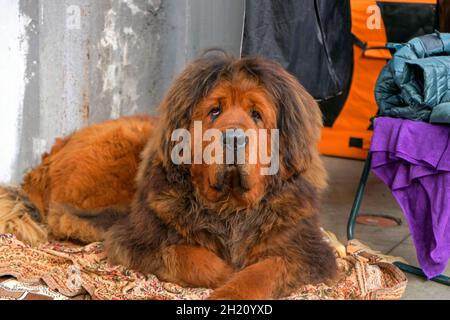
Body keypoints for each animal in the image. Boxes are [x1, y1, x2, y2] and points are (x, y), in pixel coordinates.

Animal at [0, 52, 338, 300]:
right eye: (214, 111)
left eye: (256, 115)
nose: (233, 138)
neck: (229, 208)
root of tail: (46, 160)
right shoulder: (139, 240)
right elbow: (191, 258)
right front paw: (225, 275)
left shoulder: (307, 250)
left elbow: (264, 270)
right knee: (65, 217)